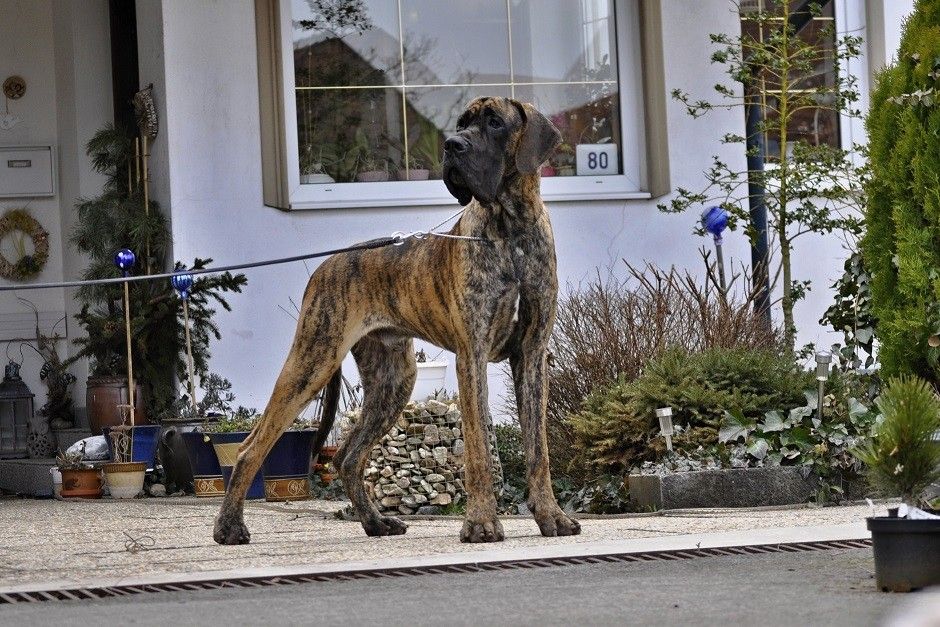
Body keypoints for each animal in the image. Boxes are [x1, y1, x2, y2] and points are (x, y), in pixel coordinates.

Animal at [214, 97, 581, 544]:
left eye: (495, 122)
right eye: (462, 123)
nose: (451, 145)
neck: (509, 228)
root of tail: (327, 264)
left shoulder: (531, 355)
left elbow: (538, 450)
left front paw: (552, 517)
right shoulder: (472, 356)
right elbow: (477, 448)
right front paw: (480, 523)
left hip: (393, 380)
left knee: (348, 456)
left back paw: (376, 522)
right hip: (311, 363)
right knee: (252, 446)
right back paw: (229, 526)